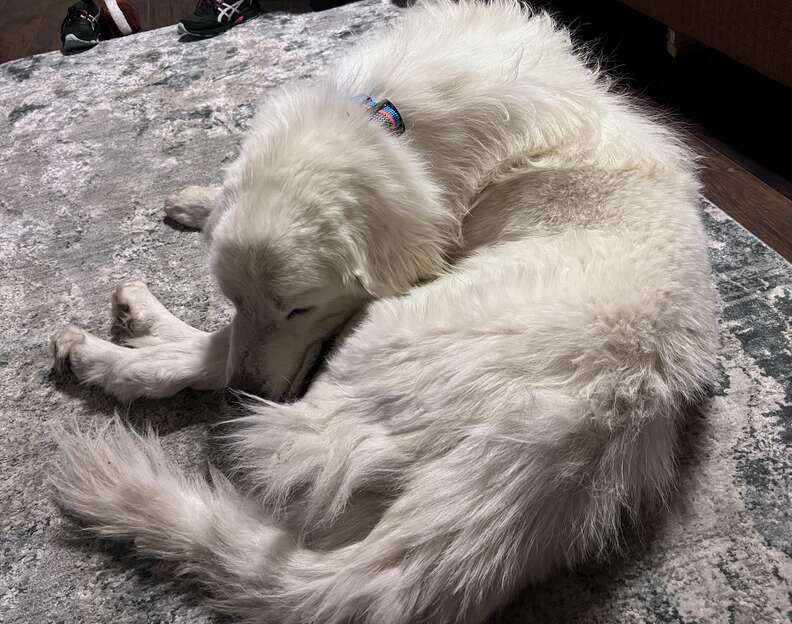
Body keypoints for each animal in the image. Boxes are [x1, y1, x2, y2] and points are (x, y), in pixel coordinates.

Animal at [48, 2, 716, 620]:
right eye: (237, 297)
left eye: (299, 309)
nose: (248, 392)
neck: (391, 120)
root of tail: (555, 442)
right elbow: (228, 291)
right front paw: (200, 200)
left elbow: (220, 345)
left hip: (369, 339)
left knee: (207, 360)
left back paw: (113, 349)